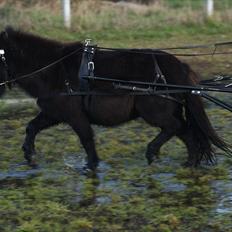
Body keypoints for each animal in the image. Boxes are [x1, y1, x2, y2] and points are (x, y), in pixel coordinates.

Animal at [0, 27, 230, 170]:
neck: (54, 69)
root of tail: (177, 65)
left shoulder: (75, 116)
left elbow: (87, 140)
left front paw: (91, 166)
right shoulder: (53, 113)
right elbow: (31, 127)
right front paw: (29, 154)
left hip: (155, 112)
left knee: (176, 128)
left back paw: (153, 152)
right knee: (186, 133)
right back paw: (189, 163)